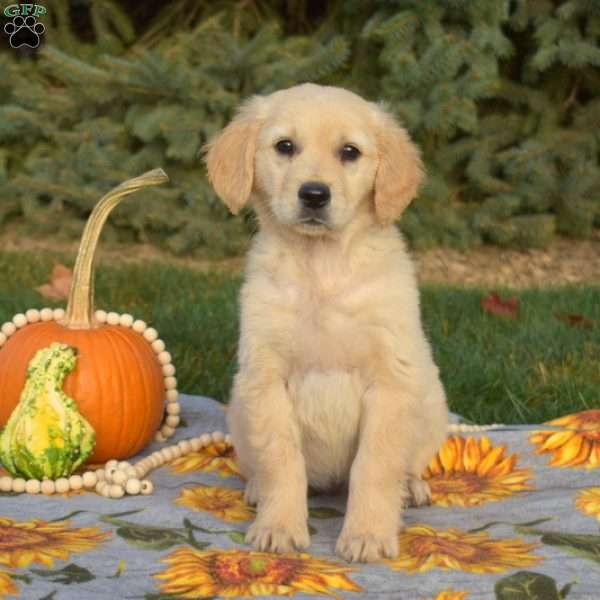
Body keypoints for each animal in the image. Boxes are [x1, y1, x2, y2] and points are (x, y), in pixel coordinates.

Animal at [204, 83, 448, 564]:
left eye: (349, 152)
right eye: (285, 147)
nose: (314, 194)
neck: (322, 267)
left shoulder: (390, 381)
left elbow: (375, 465)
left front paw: (367, 535)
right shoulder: (266, 378)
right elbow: (282, 461)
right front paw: (279, 527)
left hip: (432, 404)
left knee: (407, 464)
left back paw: (411, 488)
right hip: (239, 410)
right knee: (259, 465)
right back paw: (257, 490)